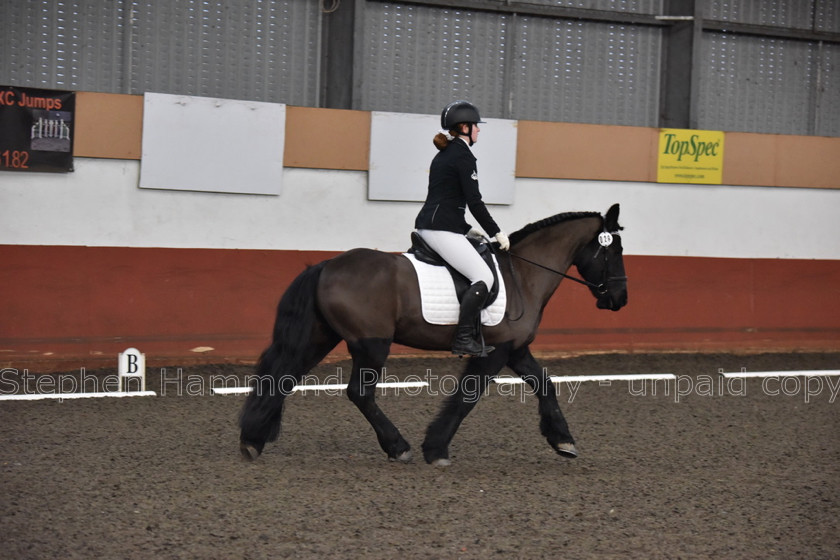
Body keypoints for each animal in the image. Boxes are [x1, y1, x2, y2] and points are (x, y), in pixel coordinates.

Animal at [240, 203, 628, 466]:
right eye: (615, 250)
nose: (620, 299)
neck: (523, 274)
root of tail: (326, 266)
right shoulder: (497, 351)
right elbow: (468, 397)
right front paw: (436, 448)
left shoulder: (516, 349)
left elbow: (545, 384)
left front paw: (563, 441)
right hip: (371, 344)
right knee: (359, 393)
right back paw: (398, 447)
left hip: (321, 336)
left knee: (284, 376)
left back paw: (252, 440)